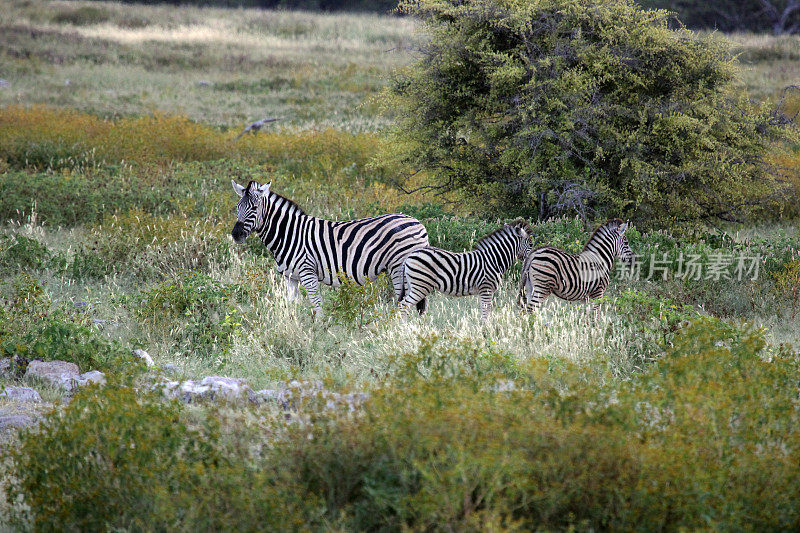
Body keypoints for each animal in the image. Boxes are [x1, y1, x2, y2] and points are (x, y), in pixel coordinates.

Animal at [231, 180, 432, 316]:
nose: (236, 234)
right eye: (237, 207)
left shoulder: (308, 272)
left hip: (399, 268)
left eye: (254, 207)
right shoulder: (290, 277)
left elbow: (317, 305)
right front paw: (291, 327)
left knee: (405, 302)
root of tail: (419, 223)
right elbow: (291, 305)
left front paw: (318, 334)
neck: (289, 233)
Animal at [398, 219, 532, 320]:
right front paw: (486, 331)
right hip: (420, 285)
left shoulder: (484, 291)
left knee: (403, 305)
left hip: (411, 284)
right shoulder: (486, 288)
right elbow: (486, 312)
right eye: (530, 244)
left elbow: (484, 311)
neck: (493, 259)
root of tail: (409, 256)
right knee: (404, 305)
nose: (531, 258)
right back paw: (405, 328)